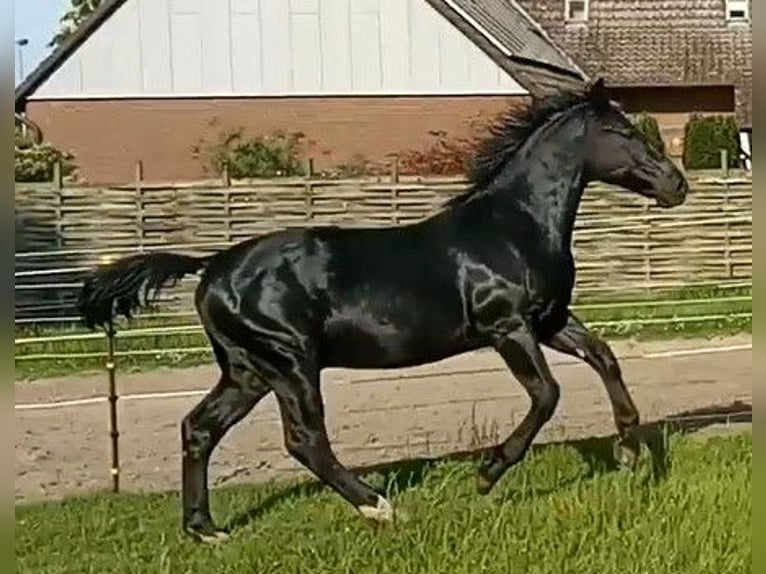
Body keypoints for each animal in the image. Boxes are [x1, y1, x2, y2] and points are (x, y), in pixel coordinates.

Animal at [78, 79, 688, 544]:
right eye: (623, 133)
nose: (676, 184)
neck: (512, 228)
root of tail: (211, 266)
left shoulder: (550, 321)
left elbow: (604, 357)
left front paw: (630, 451)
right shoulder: (506, 326)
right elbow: (547, 394)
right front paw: (487, 475)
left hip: (248, 370)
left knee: (199, 428)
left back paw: (206, 530)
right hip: (290, 363)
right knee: (304, 440)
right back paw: (381, 507)